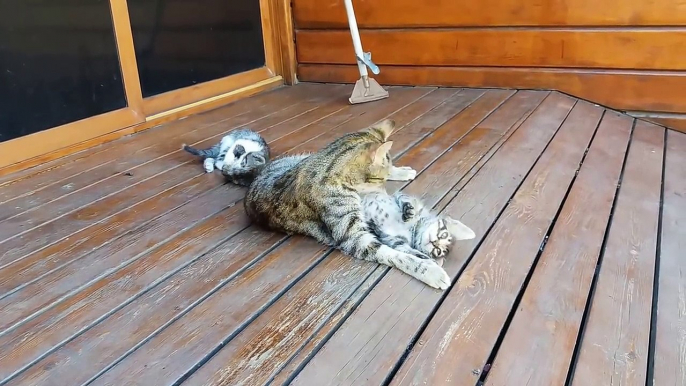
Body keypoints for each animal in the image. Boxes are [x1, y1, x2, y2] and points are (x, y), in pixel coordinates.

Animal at [245, 119, 454, 288]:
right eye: (380, 180)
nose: (384, 193)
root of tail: (260, 172)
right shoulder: (356, 238)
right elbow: (398, 256)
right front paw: (429, 270)